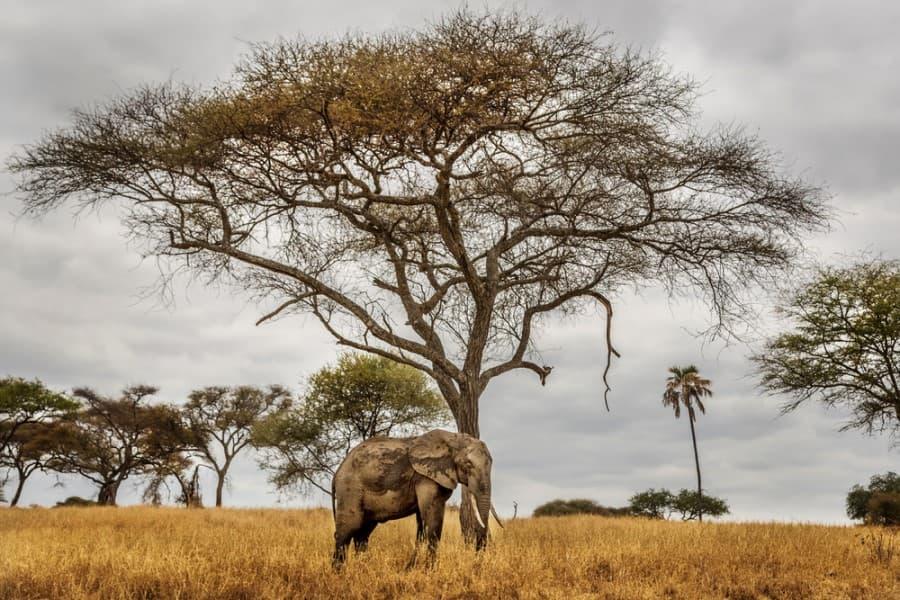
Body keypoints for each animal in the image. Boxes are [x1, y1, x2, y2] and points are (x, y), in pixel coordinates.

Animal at [331, 429, 497, 566]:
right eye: (468, 465)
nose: (476, 561)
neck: (453, 438)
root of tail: (338, 471)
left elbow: (422, 522)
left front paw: (412, 567)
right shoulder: (425, 477)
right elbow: (432, 519)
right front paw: (430, 569)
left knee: (362, 534)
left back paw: (363, 567)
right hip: (350, 489)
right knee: (347, 530)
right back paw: (339, 573)